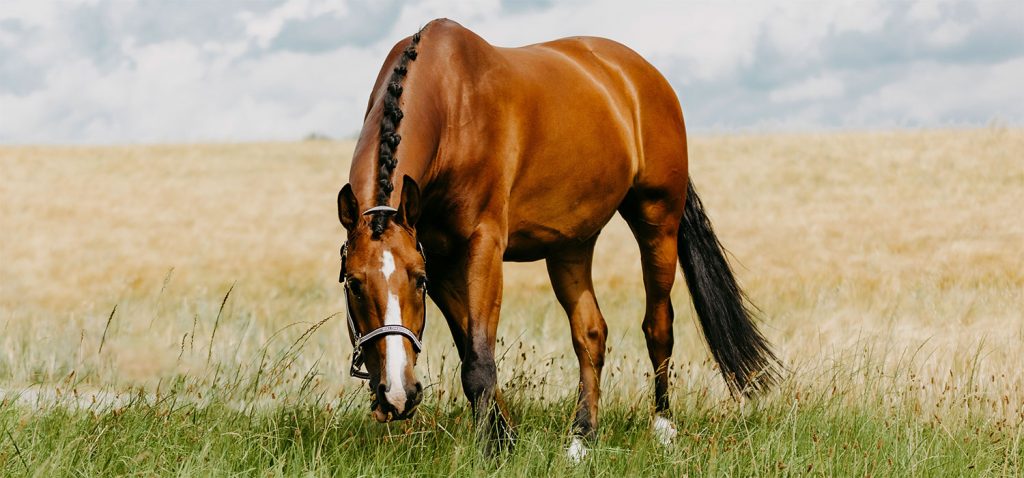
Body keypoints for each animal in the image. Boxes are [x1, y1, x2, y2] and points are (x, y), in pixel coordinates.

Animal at [336, 18, 781, 456]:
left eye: (416, 280)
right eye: (354, 284)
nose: (397, 395)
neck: (452, 105)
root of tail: (644, 76)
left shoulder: (480, 246)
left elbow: (479, 359)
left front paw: (493, 450)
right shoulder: (441, 260)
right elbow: (469, 347)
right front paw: (505, 437)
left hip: (658, 222)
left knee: (658, 325)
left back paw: (663, 427)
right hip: (571, 246)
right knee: (591, 333)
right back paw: (582, 437)